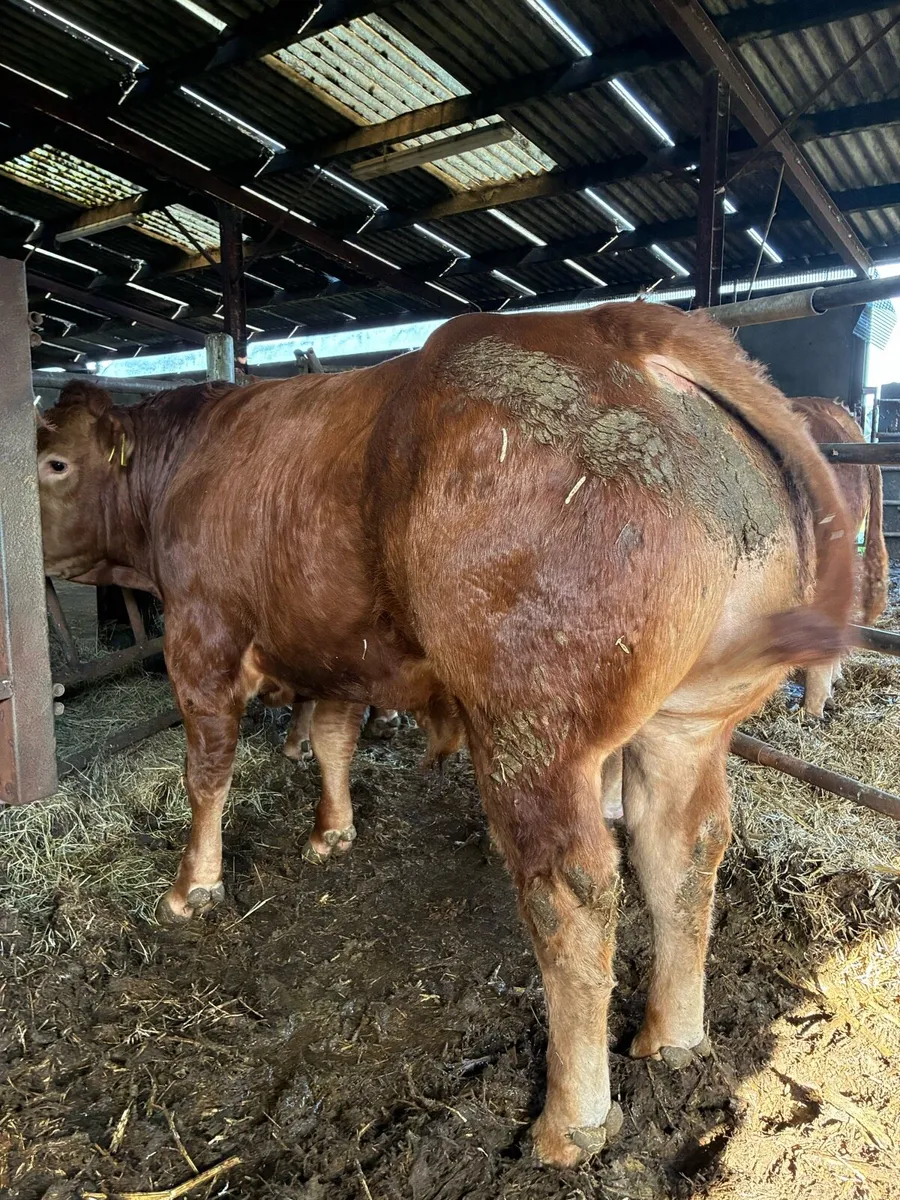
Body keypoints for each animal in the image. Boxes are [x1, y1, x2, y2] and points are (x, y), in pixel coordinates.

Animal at [36, 302, 854, 1167]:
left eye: (52, 463)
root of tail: (621, 326)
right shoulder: (339, 649)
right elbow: (332, 738)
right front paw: (332, 832)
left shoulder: (201, 634)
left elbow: (207, 771)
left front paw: (193, 884)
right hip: (690, 719)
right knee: (683, 848)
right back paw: (673, 1035)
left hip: (535, 726)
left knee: (573, 891)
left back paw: (571, 1121)